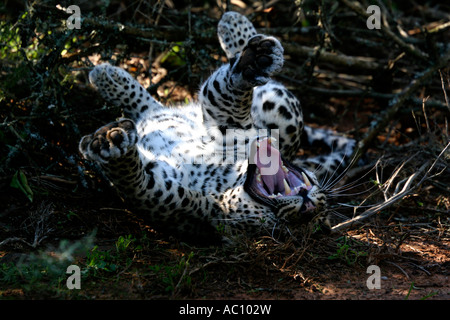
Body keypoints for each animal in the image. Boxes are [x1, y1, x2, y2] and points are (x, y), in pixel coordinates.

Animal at [79, 11, 356, 242]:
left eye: (285, 227)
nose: (308, 205)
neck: (230, 174)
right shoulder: (232, 125)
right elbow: (227, 90)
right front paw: (254, 61)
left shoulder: (165, 198)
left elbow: (132, 180)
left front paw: (110, 144)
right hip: (281, 109)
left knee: (149, 109)